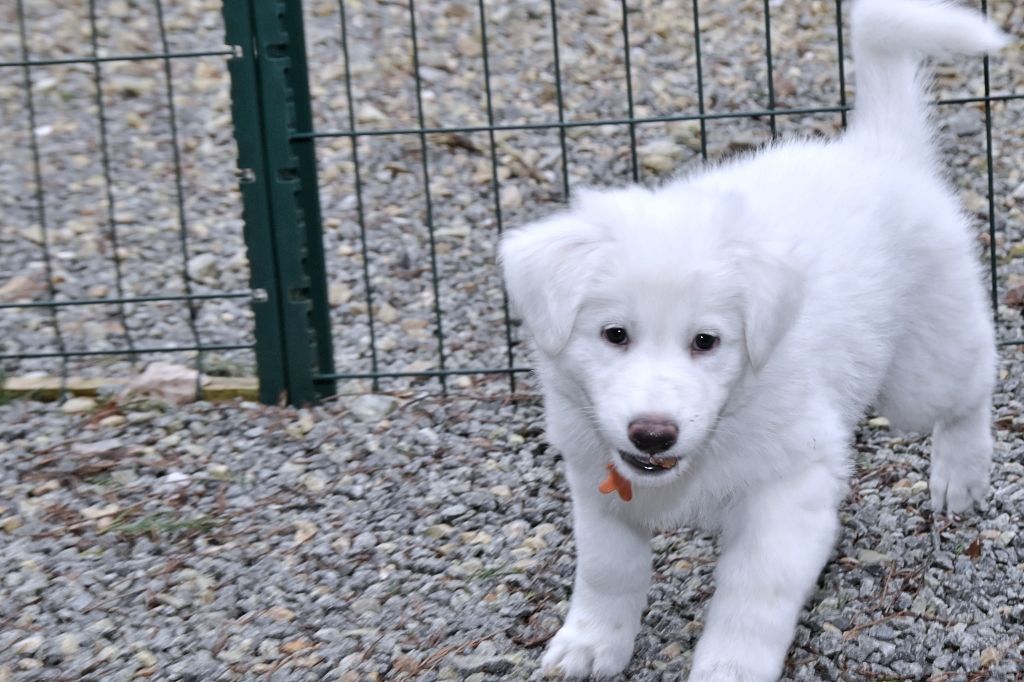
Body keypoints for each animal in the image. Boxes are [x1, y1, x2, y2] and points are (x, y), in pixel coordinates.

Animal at [498, 1, 1008, 679]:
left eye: (706, 341)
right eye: (614, 334)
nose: (652, 434)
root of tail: (877, 148)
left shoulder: (791, 487)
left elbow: (752, 596)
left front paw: (727, 667)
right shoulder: (596, 482)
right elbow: (609, 571)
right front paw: (590, 644)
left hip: (919, 374)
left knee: (972, 384)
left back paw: (961, 474)